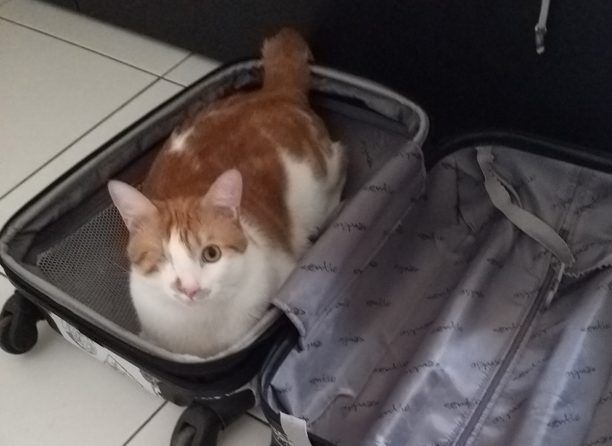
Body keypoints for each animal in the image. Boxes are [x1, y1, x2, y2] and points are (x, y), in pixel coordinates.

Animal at [108, 29, 346, 357]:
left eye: (211, 254)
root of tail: (273, 92)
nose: (189, 288)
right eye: (161, 257)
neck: (199, 334)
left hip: (322, 176)